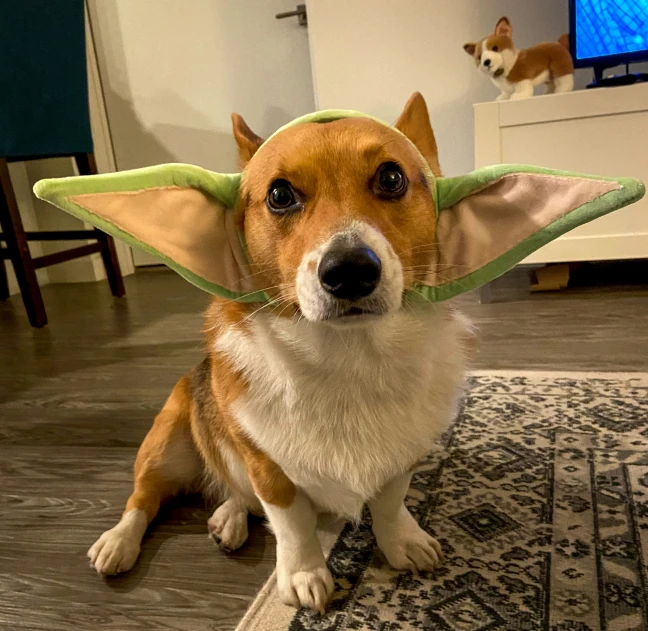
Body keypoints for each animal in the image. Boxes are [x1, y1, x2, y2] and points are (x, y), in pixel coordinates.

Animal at [86, 92, 474, 612]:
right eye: (280, 195)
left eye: (392, 178)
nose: (349, 271)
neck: (350, 356)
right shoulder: (266, 463)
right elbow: (291, 521)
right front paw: (305, 575)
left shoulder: (403, 454)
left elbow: (390, 503)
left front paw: (403, 542)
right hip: (168, 442)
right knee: (147, 497)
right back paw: (118, 542)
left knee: (233, 493)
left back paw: (227, 519)